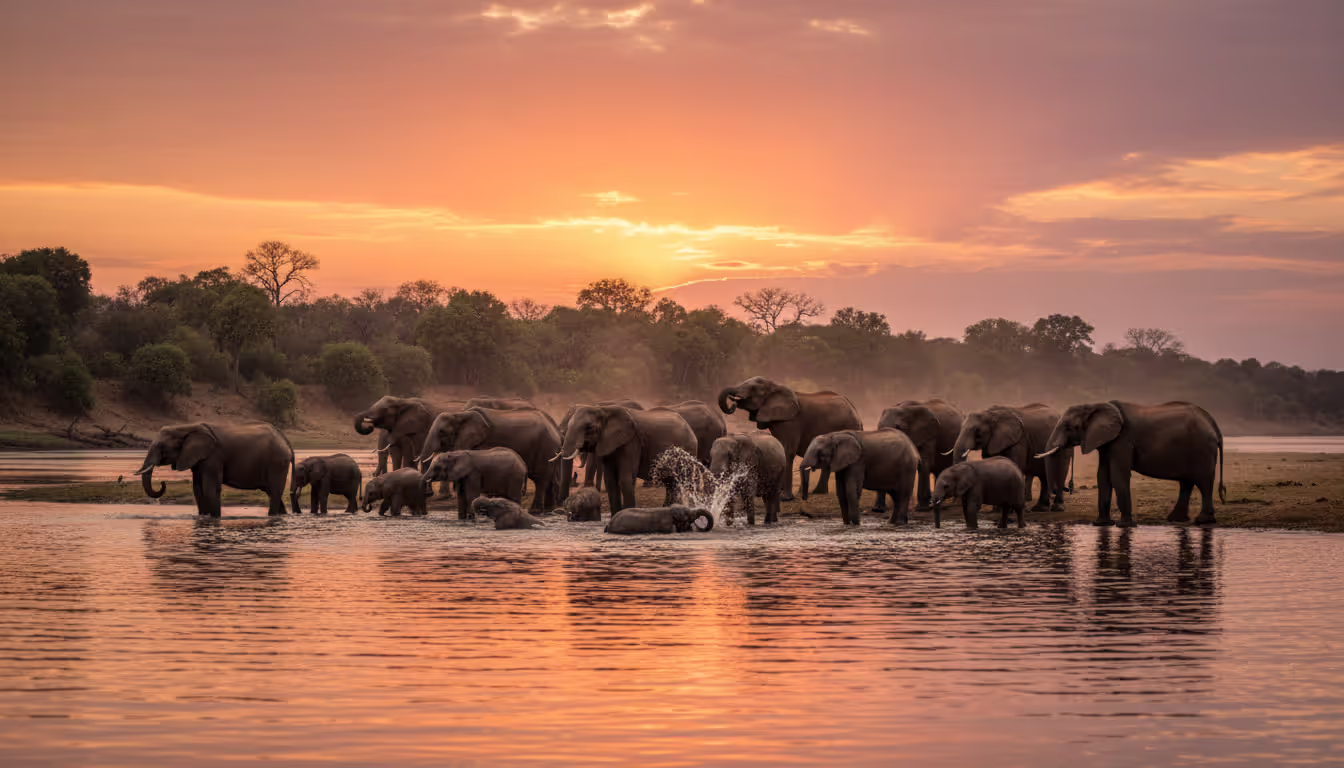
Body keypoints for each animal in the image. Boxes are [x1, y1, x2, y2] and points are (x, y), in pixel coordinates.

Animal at [135, 422, 294, 517]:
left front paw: (214, 518)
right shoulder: (197, 459)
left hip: (277, 463)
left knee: (274, 492)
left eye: (161, 447)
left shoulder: (213, 457)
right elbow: (197, 489)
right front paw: (203, 517)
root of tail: (285, 441)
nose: (162, 483)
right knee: (272, 492)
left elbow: (210, 488)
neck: (187, 427)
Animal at [416, 407, 562, 512]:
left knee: (541, 480)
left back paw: (536, 511)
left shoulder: (482, 443)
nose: (429, 493)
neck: (460, 414)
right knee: (549, 480)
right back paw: (549, 510)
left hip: (545, 449)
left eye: (442, 432)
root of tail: (555, 429)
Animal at [554, 405, 698, 514]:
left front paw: (627, 512)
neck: (603, 409)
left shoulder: (631, 441)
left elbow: (625, 479)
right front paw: (615, 516)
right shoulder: (608, 443)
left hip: (687, 450)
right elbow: (610, 481)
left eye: (589, 427)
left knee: (680, 482)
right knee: (670, 482)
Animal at [718, 377, 862, 501]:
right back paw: (818, 492)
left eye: (753, 388)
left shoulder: (791, 421)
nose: (733, 403)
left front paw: (784, 498)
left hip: (848, 426)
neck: (774, 385)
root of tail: (855, 410)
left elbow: (788, 451)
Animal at [1039, 401, 1226, 528]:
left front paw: (1125, 526)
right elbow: (1103, 476)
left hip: (1202, 448)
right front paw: (1102, 524)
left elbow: (1117, 474)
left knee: (1203, 481)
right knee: (1186, 482)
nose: (1067, 488)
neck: (1096, 405)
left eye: (1069, 427)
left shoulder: (1122, 440)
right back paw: (1176, 519)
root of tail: (1213, 424)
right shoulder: (1107, 442)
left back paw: (1203, 521)